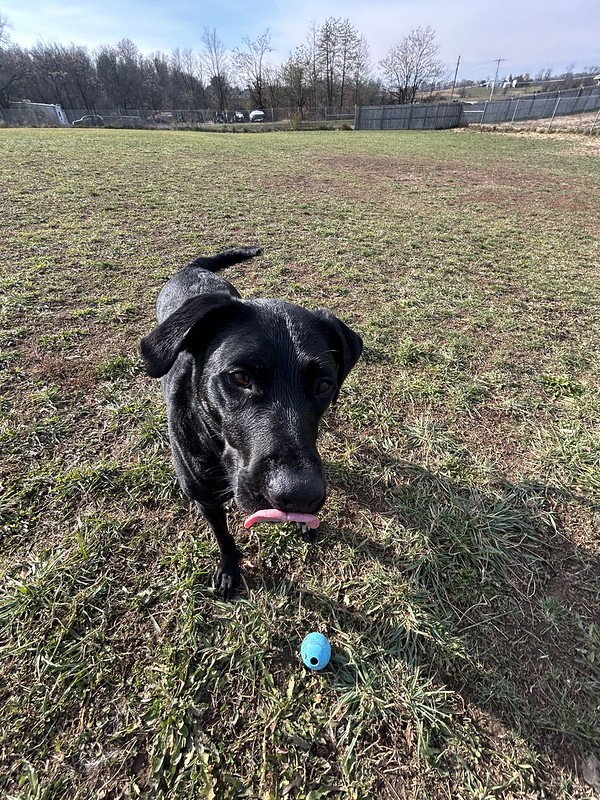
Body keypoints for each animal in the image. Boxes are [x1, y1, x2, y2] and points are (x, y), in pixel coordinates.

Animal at [141, 247, 360, 596]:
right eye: (241, 377)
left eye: (324, 385)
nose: (300, 494)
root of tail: (193, 267)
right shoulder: (205, 500)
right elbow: (224, 537)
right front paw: (230, 570)